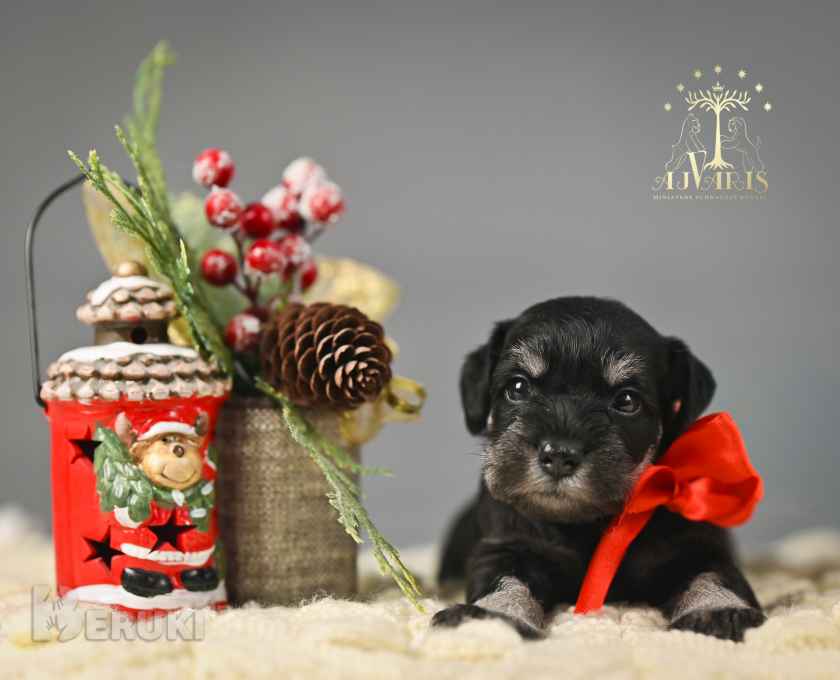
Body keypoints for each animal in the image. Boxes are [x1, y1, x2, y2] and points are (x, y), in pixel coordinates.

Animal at [432, 297, 765, 641]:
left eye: (627, 401)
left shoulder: (698, 549)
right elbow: (504, 581)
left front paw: (719, 611)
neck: (585, 525)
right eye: (518, 387)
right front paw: (492, 616)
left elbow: (712, 576)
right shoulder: (506, 548)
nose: (558, 454)